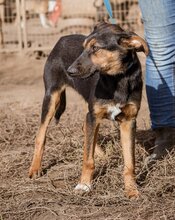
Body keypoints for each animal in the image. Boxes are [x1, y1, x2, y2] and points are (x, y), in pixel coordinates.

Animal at [29, 21, 149, 198]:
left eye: (96, 48)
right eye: (84, 48)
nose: (70, 71)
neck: (117, 80)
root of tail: (62, 38)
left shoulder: (128, 121)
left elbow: (129, 163)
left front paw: (131, 189)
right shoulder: (93, 115)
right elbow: (87, 159)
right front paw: (84, 185)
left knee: (84, 129)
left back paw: (102, 155)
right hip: (52, 97)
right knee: (41, 135)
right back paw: (35, 168)